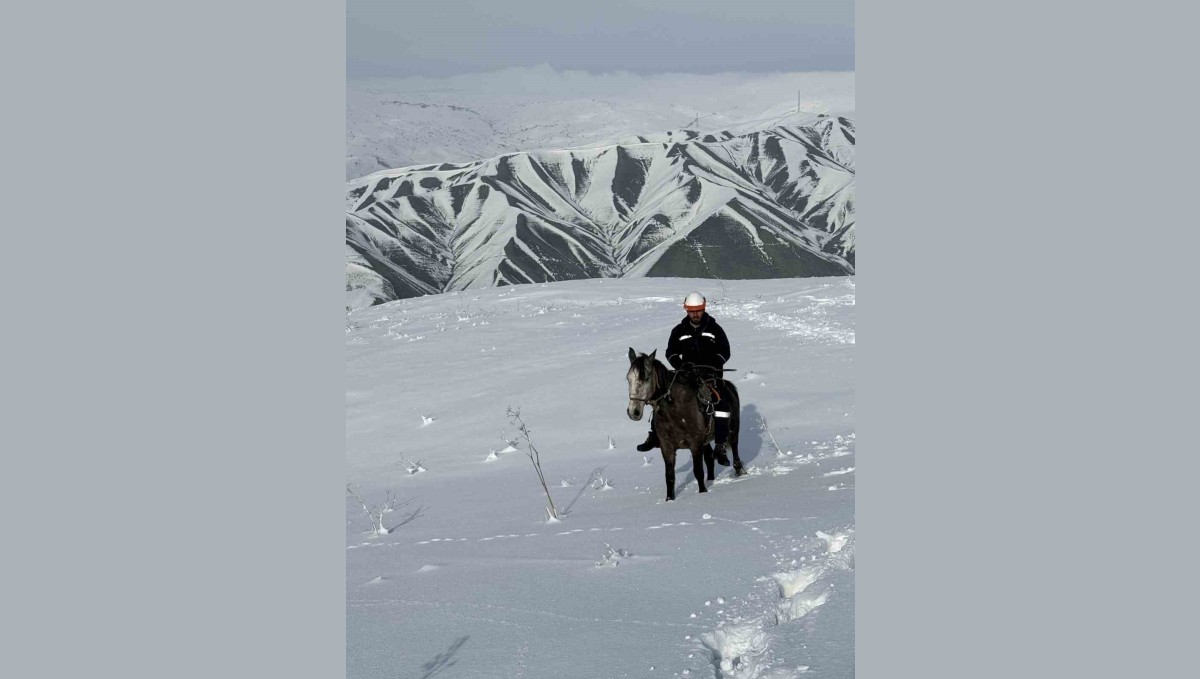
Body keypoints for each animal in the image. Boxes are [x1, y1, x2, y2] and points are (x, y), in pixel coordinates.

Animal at [628, 347, 739, 503]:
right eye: (628, 379)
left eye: (646, 378)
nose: (633, 412)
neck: (676, 410)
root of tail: (730, 387)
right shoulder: (667, 447)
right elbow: (669, 477)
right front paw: (669, 500)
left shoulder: (695, 444)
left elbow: (698, 471)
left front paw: (703, 492)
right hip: (706, 441)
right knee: (709, 459)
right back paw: (711, 479)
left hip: (733, 429)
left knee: (734, 449)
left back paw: (738, 469)